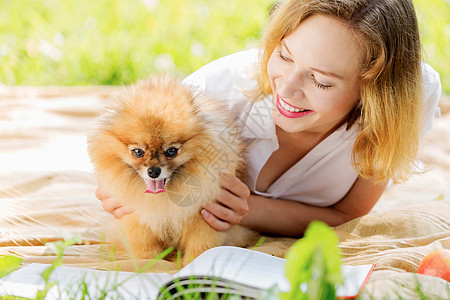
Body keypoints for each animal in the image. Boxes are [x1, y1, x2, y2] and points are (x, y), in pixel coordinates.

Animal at [88, 75, 256, 264]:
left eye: (171, 151)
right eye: (138, 152)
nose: (153, 171)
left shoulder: (204, 215)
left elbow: (201, 243)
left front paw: (195, 261)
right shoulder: (137, 216)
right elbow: (143, 242)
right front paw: (146, 261)